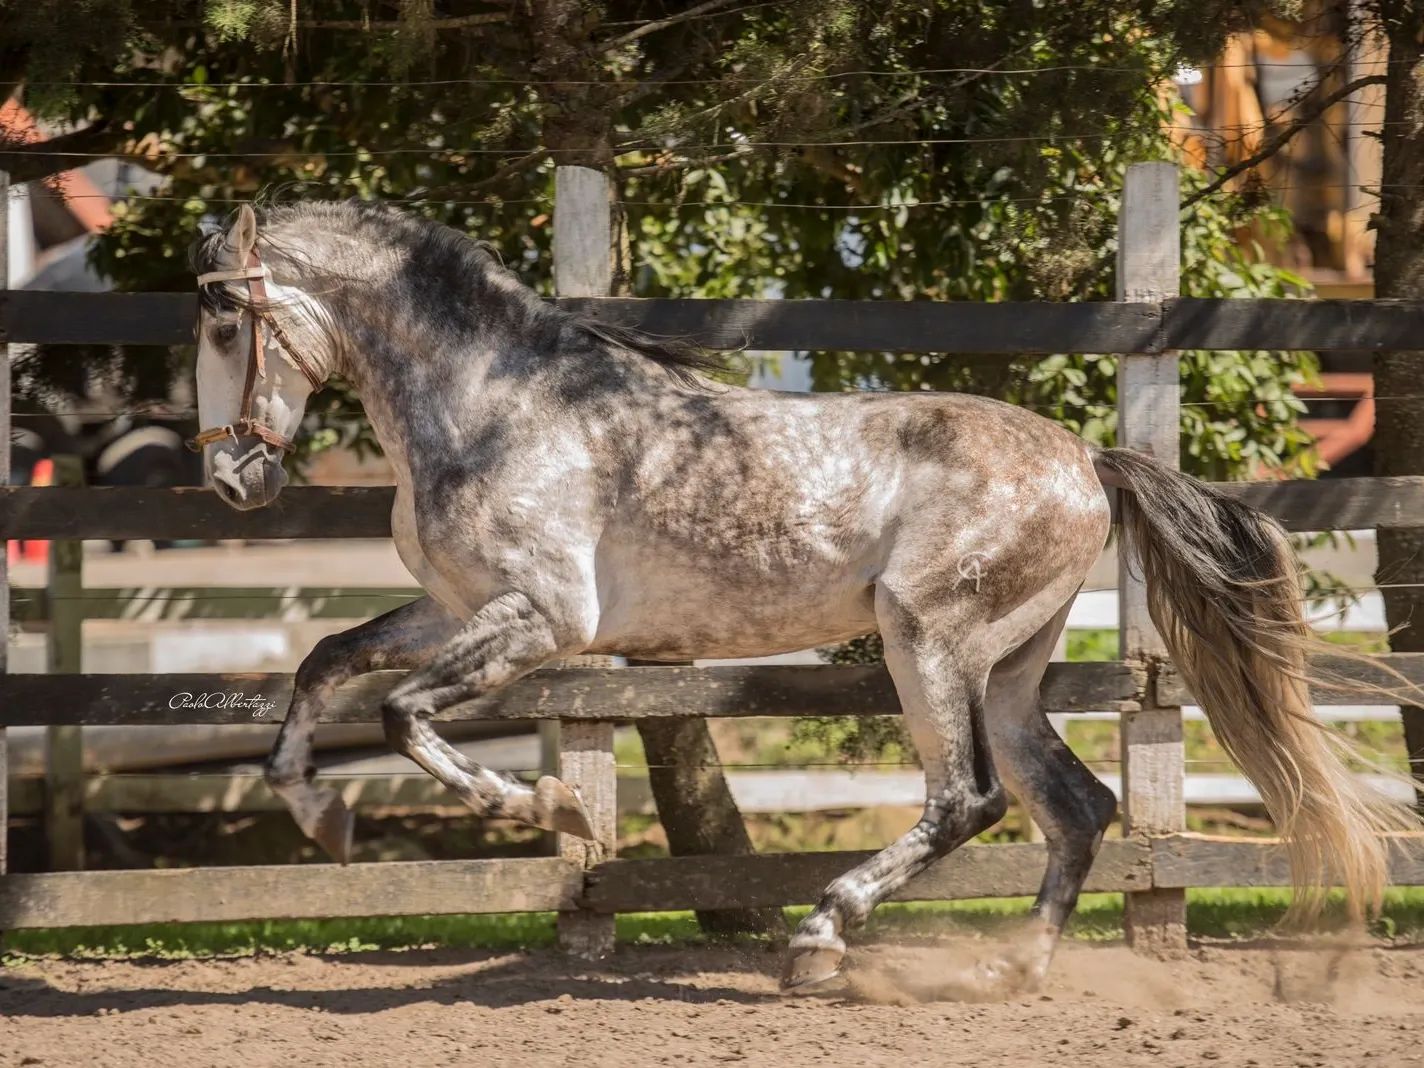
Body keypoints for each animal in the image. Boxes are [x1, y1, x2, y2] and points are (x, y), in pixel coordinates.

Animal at [190, 200, 1413, 994]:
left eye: (221, 324)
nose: (233, 479)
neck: (498, 405)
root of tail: (1086, 458)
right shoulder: (456, 609)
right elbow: (329, 664)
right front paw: (317, 812)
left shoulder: (540, 619)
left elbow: (403, 713)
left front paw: (545, 807)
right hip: (1008, 667)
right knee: (1074, 804)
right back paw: (1008, 967)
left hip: (927, 640)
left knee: (968, 800)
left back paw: (822, 937)